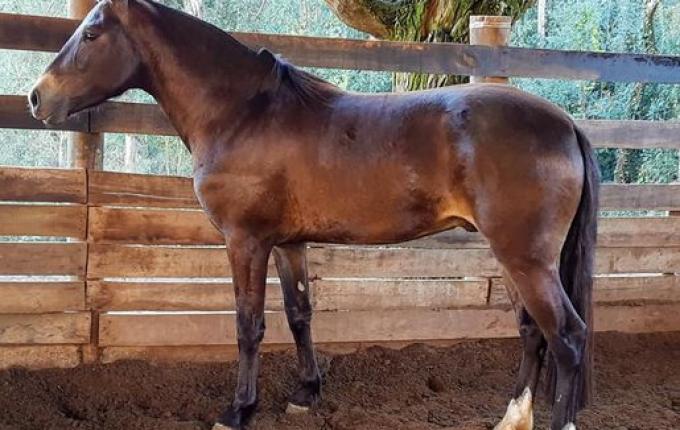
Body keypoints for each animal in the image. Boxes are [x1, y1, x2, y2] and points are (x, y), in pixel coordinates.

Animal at [29, 1, 599, 429]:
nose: (37, 98)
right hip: (515, 258)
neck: (243, 114)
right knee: (533, 331)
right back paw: (512, 417)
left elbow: (249, 324)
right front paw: (306, 393)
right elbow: (299, 313)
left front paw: (239, 410)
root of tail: (564, 124)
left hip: (525, 259)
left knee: (568, 337)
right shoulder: (288, 243)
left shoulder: (245, 241)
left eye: (92, 33)